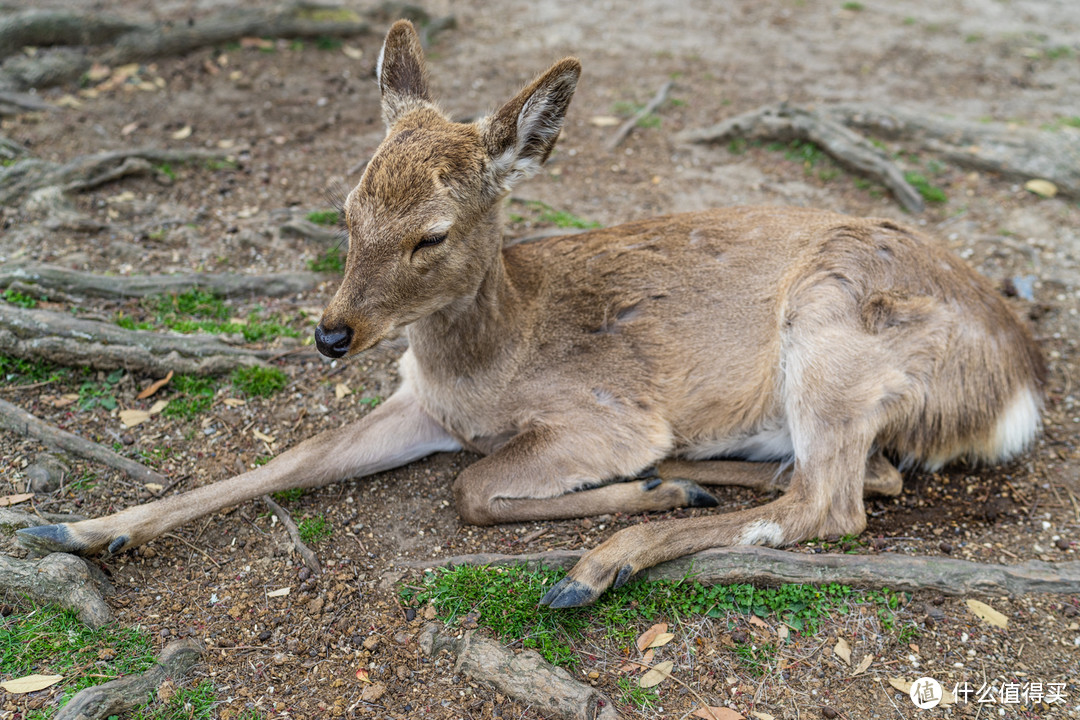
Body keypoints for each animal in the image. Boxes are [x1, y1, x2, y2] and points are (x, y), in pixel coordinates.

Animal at [19, 21, 1045, 608]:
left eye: (431, 235)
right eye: (345, 210)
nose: (331, 334)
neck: (483, 372)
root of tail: (1022, 388)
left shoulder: (603, 415)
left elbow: (469, 490)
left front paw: (624, 497)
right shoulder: (419, 403)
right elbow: (292, 459)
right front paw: (79, 529)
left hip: (833, 332)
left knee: (839, 500)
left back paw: (600, 561)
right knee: (860, 480)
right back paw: (683, 483)